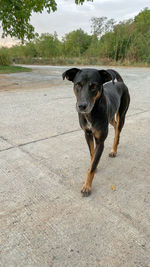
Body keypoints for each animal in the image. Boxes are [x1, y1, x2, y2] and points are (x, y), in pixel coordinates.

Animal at [62, 67, 130, 197]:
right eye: (78, 84)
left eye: (94, 86)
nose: (82, 106)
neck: (91, 113)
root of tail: (120, 82)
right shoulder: (87, 134)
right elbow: (92, 155)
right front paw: (92, 163)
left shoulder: (100, 141)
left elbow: (93, 166)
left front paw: (87, 186)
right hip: (110, 118)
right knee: (114, 125)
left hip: (122, 114)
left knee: (118, 131)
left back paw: (114, 150)